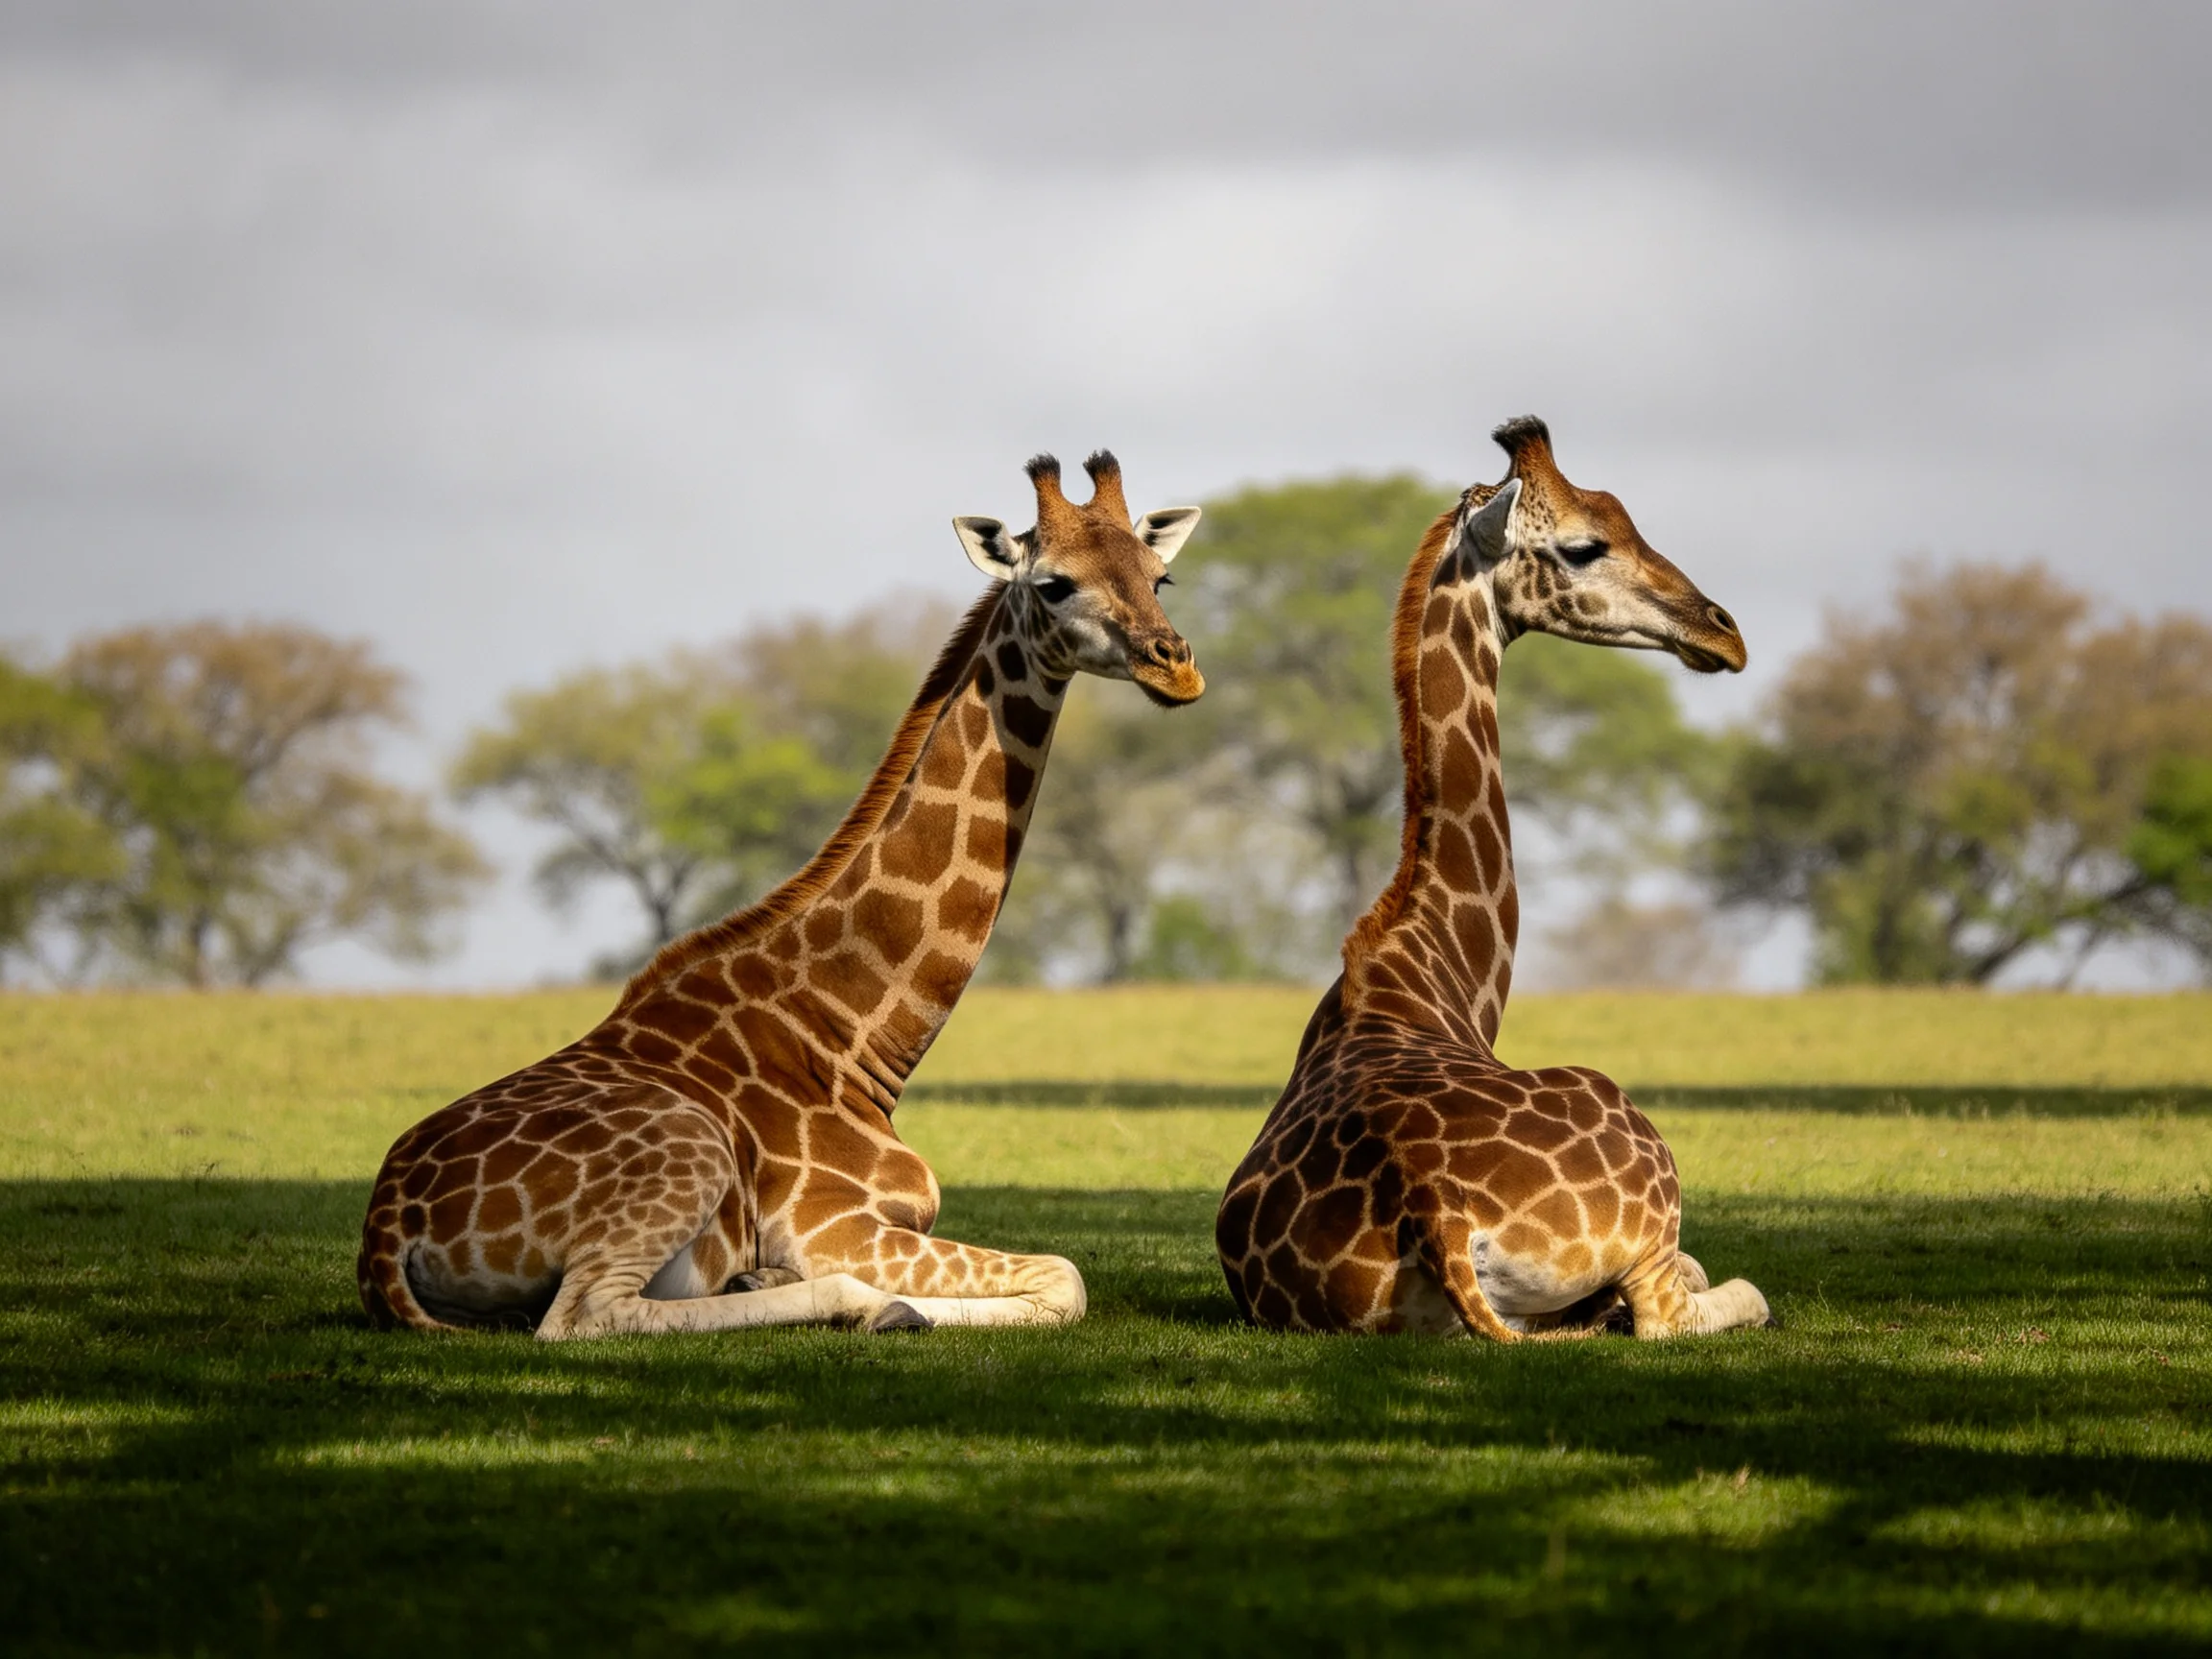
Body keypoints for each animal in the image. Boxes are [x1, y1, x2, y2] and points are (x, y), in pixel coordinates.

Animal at [359, 451, 1203, 1339]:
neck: (851, 1033)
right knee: (585, 1315)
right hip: (686, 1156)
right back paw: (869, 1307)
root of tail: (386, 1232)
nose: (1174, 665)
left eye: (1161, 576)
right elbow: (1065, 1276)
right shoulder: (836, 1224)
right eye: (1053, 584)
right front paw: (880, 1303)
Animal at [1216, 417, 1773, 1341]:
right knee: (1687, 1307)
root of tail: (1437, 1214)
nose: (1722, 632)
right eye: (1584, 546)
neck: (1432, 968)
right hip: (1639, 1173)